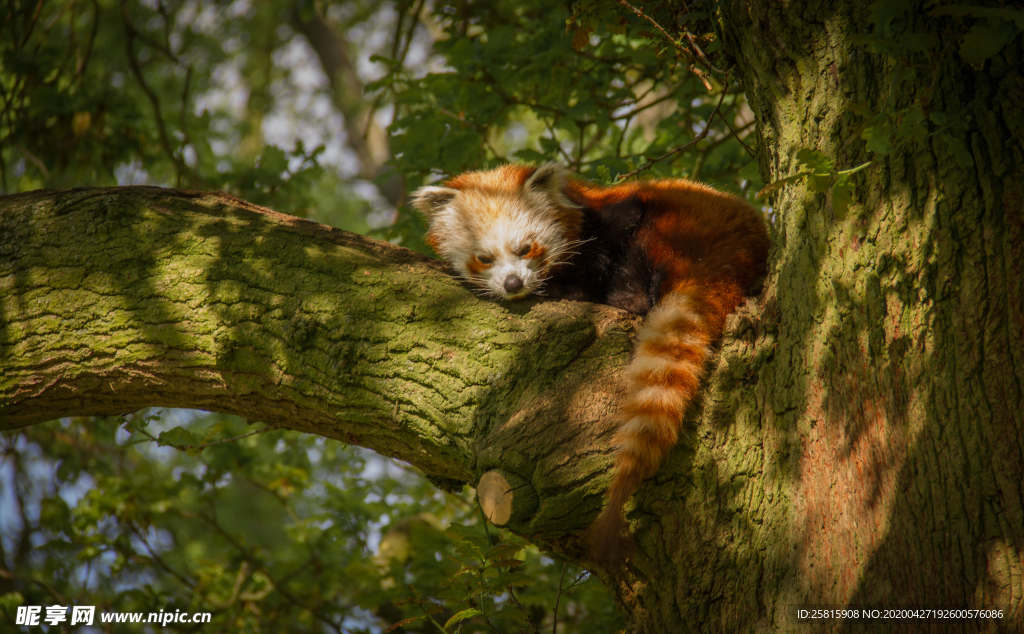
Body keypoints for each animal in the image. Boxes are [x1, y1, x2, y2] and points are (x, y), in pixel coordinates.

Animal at [409, 162, 770, 561]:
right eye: (484, 258)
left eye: (525, 248)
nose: (513, 283)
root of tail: (730, 255)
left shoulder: (613, 223)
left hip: (675, 228)